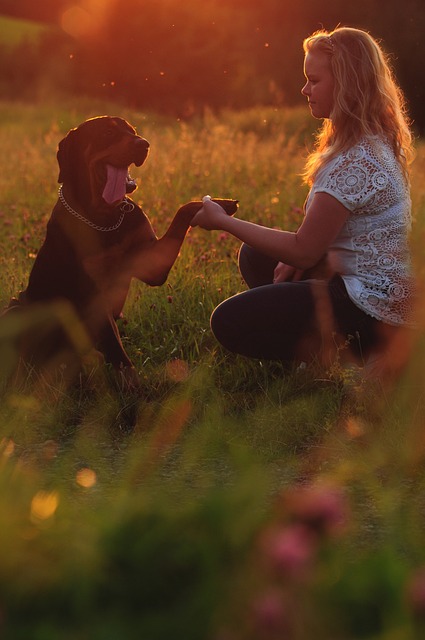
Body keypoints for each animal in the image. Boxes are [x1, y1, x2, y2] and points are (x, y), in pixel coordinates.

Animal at [4, 115, 235, 384]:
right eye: (107, 133)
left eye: (132, 131)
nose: (144, 144)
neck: (105, 217)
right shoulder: (94, 291)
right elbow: (114, 344)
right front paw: (131, 384)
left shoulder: (154, 264)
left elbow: (183, 210)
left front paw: (220, 204)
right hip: (17, 307)